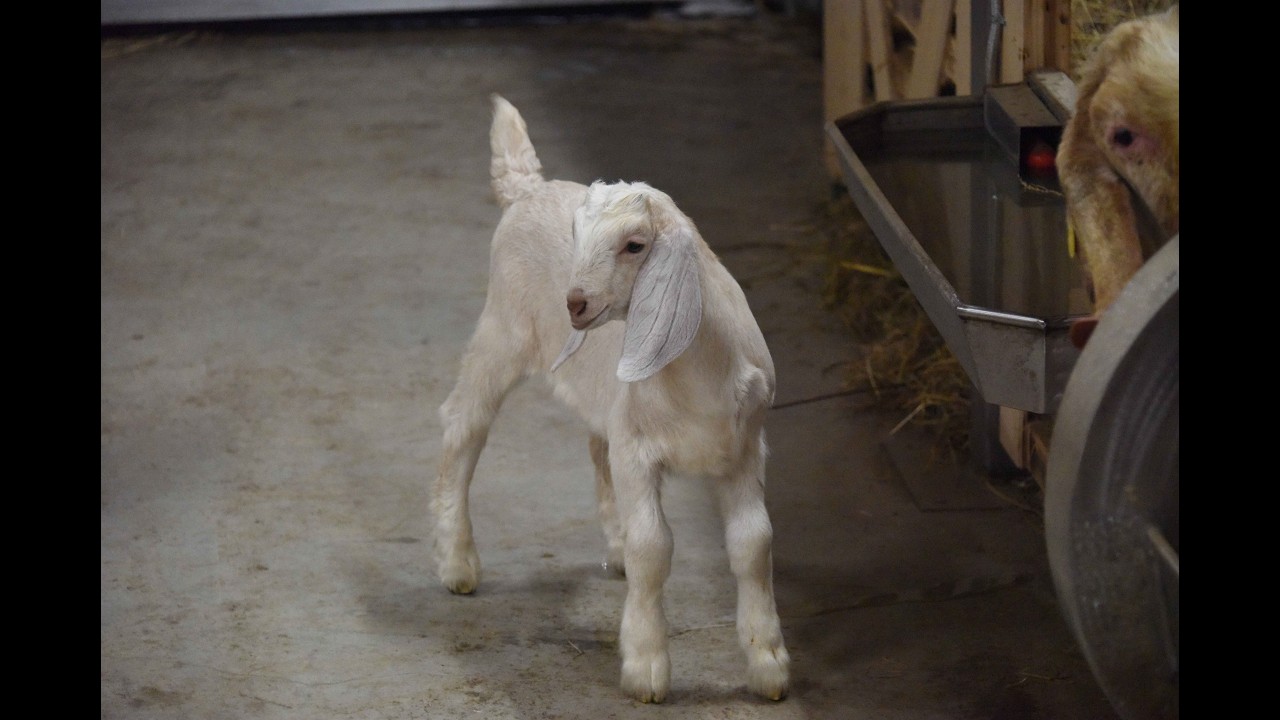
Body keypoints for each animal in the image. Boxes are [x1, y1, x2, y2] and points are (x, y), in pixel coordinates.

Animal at [431, 94, 791, 704]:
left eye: (635, 245)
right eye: (577, 236)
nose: (574, 303)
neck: (694, 374)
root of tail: (528, 189)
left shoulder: (744, 448)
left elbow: (753, 545)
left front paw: (768, 663)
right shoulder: (638, 449)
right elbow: (655, 547)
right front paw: (646, 665)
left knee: (593, 449)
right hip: (502, 331)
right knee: (462, 425)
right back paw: (458, 562)